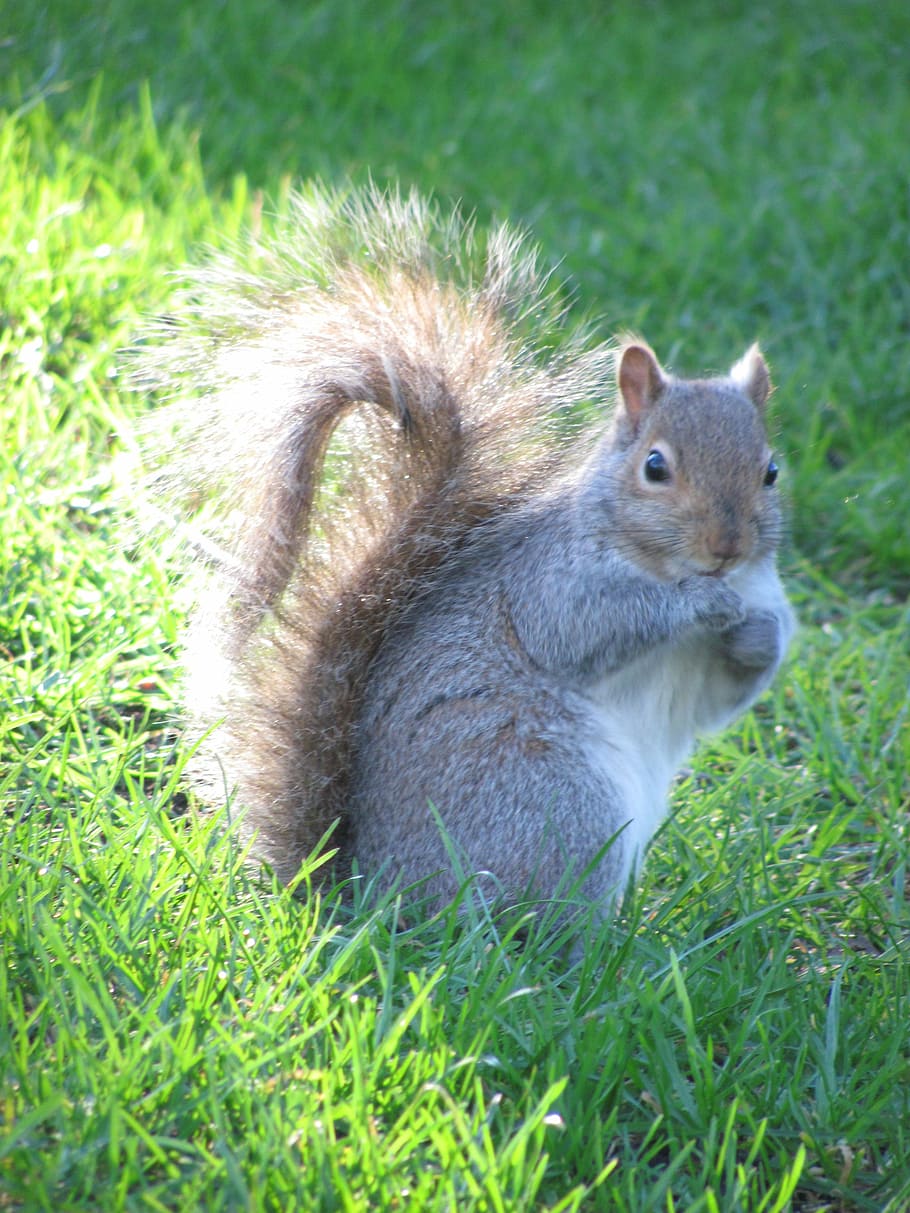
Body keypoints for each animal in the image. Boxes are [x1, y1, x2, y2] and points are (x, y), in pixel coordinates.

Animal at [144, 184, 795, 912]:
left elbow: (725, 692)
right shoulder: (550, 584)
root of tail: (370, 893)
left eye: (771, 471)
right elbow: (595, 626)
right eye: (655, 467)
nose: (727, 547)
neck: (652, 557)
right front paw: (702, 602)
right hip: (555, 800)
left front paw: (762, 632)